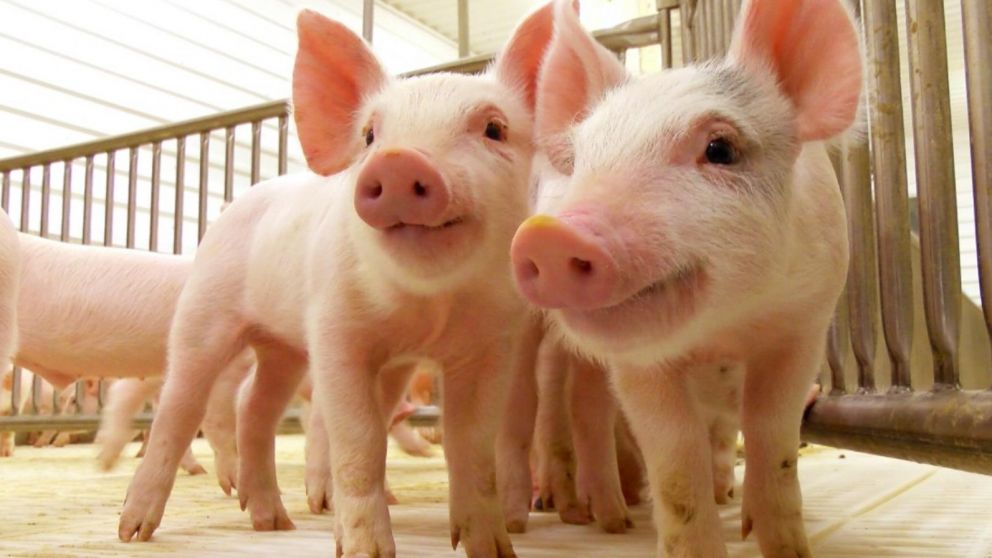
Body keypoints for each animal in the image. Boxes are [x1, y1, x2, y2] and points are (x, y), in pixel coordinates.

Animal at [118, 6, 555, 556]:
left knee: (253, 405)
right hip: (204, 311)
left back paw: (273, 523)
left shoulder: (489, 343)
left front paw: (495, 549)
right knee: (180, 406)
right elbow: (360, 439)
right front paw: (366, 550)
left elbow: (472, 445)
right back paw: (133, 530)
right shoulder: (336, 328)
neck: (427, 308)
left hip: (282, 347)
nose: (398, 160)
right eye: (369, 135)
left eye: (495, 128)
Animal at [510, 0, 861, 556]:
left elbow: (771, 435)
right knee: (562, 407)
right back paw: (582, 515)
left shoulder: (804, 322)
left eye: (720, 148)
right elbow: (675, 455)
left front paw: (782, 543)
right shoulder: (637, 363)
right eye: (581, 161)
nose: (550, 235)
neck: (721, 331)